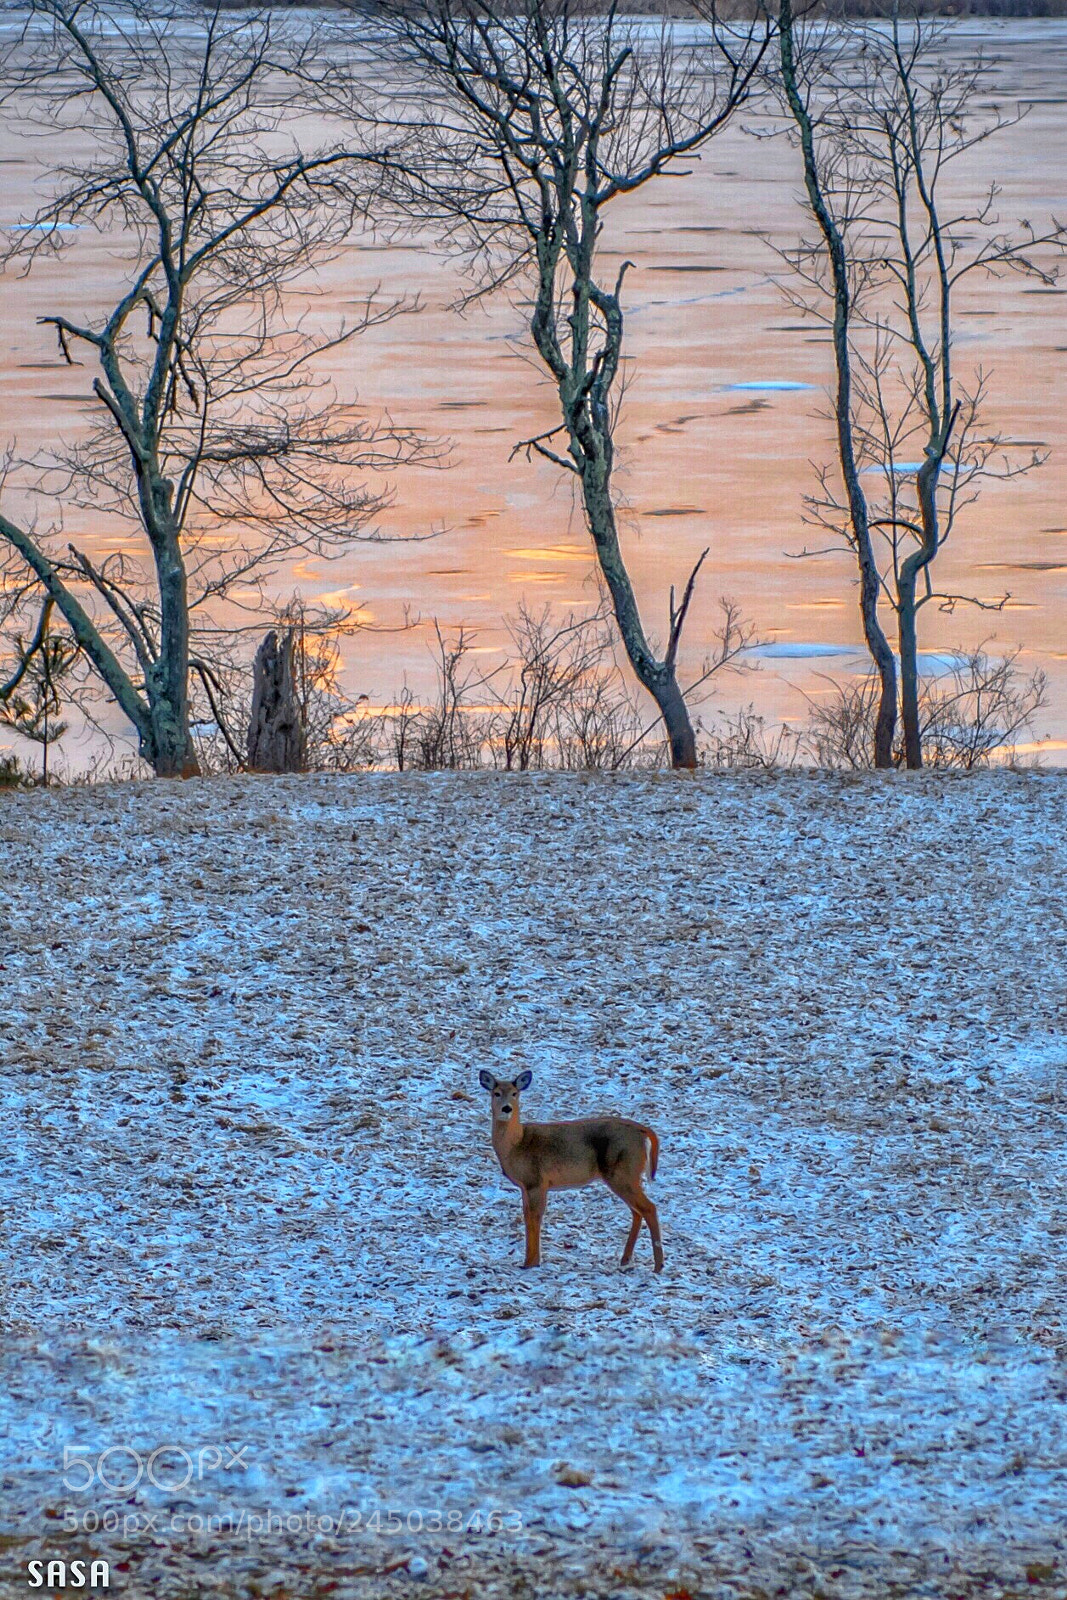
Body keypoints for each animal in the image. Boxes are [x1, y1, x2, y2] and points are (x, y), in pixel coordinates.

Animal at [478, 1069, 663, 1272]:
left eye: (514, 1093)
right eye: (496, 1093)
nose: (506, 1108)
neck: (517, 1144)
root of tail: (644, 1131)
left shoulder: (537, 1181)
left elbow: (535, 1217)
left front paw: (531, 1262)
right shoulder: (526, 1186)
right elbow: (527, 1216)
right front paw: (530, 1260)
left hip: (623, 1172)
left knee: (648, 1208)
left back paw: (658, 1266)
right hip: (626, 1175)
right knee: (637, 1211)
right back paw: (626, 1260)